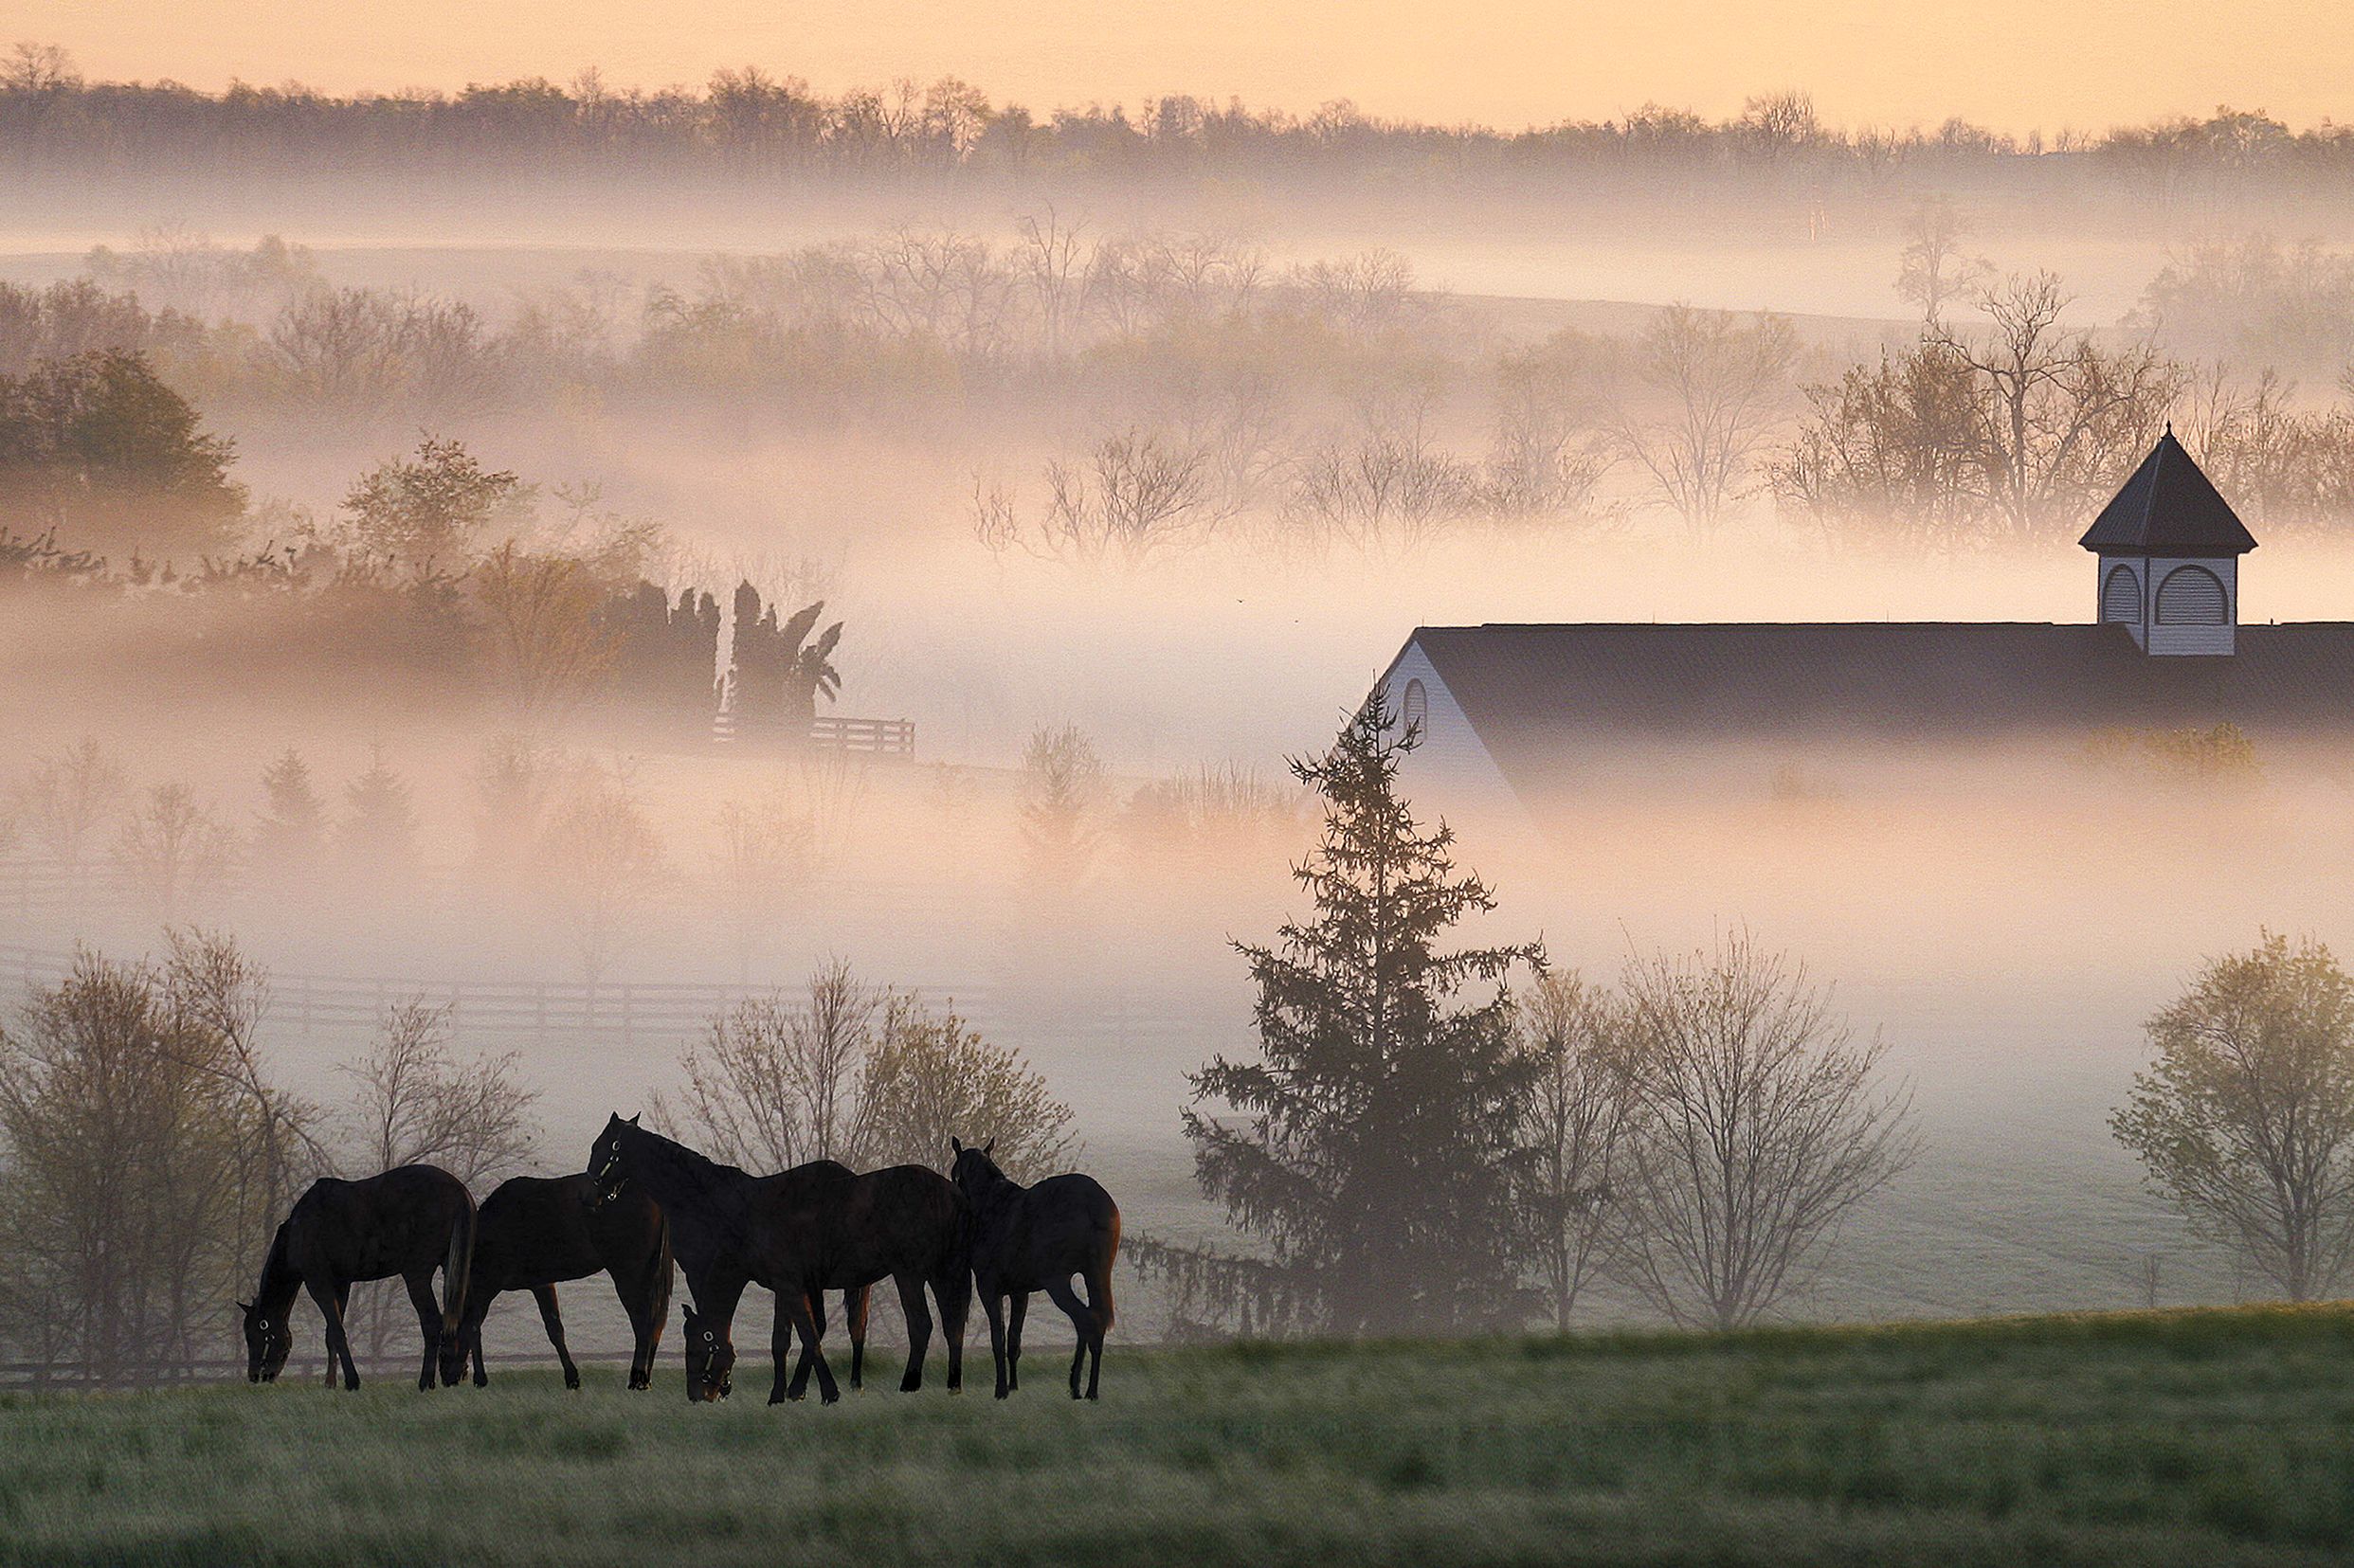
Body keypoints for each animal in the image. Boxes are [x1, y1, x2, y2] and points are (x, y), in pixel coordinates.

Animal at [241, 1158, 475, 1394]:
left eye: (254, 1334)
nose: (254, 1376)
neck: (299, 1230)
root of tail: (459, 1191)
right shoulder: (341, 1283)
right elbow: (331, 1335)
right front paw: (330, 1383)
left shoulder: (318, 1283)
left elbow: (337, 1331)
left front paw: (352, 1381)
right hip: (452, 1269)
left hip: (417, 1274)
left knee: (432, 1323)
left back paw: (426, 1381)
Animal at [438, 1177, 673, 1384]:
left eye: (441, 1342)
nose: (447, 1378)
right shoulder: (541, 1284)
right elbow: (555, 1328)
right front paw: (572, 1377)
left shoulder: (487, 1286)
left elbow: (472, 1327)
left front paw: (480, 1378)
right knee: (654, 1324)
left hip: (629, 1275)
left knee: (643, 1323)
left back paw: (638, 1377)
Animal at [592, 1110, 969, 1403]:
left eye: (600, 1148)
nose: (698, 1395)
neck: (708, 1201)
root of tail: (951, 1193)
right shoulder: (785, 1285)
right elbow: (785, 1339)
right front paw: (784, 1393)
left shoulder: (770, 1280)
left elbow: (807, 1333)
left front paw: (824, 1392)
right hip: (940, 1273)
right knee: (951, 1324)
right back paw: (951, 1385)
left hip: (909, 1274)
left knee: (921, 1325)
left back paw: (908, 1386)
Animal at [941, 1129, 1115, 1394]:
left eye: (955, 1174)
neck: (992, 1205)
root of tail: (1094, 1203)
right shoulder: (1019, 1292)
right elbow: (1014, 1341)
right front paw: (1013, 1387)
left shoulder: (989, 1289)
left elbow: (998, 1338)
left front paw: (1001, 1390)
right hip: (1096, 1275)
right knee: (1092, 1321)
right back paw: (1081, 1387)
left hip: (1058, 1282)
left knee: (1088, 1321)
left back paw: (1085, 1389)